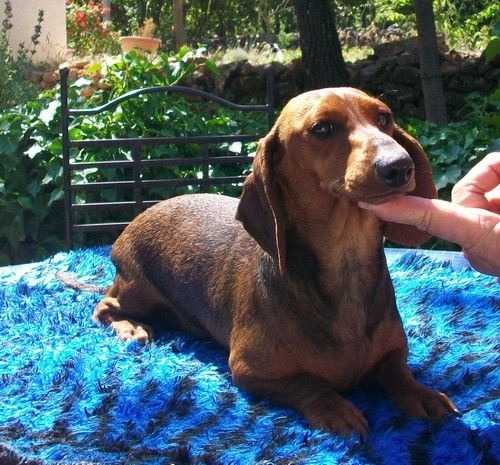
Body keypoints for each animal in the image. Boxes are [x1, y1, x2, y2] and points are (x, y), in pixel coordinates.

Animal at [93, 87, 459, 436]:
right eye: (322, 128)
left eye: (384, 118)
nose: (400, 166)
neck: (346, 264)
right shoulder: (248, 369)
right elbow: (308, 383)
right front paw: (335, 408)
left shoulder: (394, 351)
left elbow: (397, 371)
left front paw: (422, 394)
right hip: (137, 289)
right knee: (104, 307)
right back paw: (130, 326)